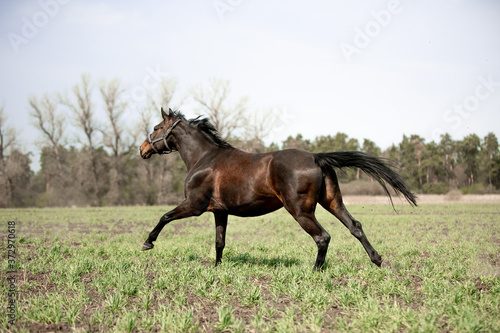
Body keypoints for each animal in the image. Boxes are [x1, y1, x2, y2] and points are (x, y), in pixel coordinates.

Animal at [139, 109, 416, 270]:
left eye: (155, 128)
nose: (142, 149)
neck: (204, 158)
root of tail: (316, 157)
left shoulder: (194, 205)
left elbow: (164, 216)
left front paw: (147, 243)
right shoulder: (220, 211)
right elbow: (219, 241)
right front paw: (216, 268)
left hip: (301, 211)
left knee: (323, 237)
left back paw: (316, 271)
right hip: (332, 202)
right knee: (354, 226)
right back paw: (377, 259)